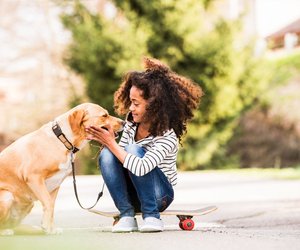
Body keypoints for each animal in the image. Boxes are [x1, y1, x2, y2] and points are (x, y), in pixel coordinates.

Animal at [0, 102, 123, 235]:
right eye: (104, 115)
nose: (124, 122)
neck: (62, 139)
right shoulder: (34, 177)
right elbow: (48, 203)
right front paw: (47, 228)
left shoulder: (55, 185)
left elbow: (52, 206)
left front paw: (51, 229)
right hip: (7, 196)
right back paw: (5, 232)